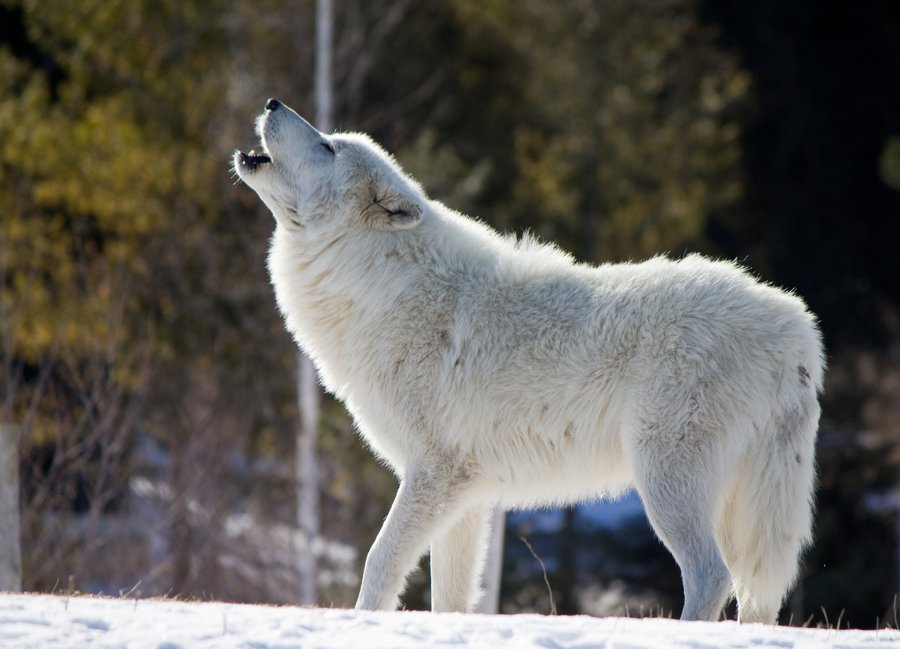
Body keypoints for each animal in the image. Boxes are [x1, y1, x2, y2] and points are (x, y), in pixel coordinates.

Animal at [236, 97, 828, 624]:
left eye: (327, 146)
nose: (271, 102)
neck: (380, 286)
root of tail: (794, 325)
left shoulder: (431, 474)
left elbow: (378, 562)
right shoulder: (465, 495)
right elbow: (450, 599)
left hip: (667, 481)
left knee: (711, 576)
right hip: (743, 504)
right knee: (757, 591)